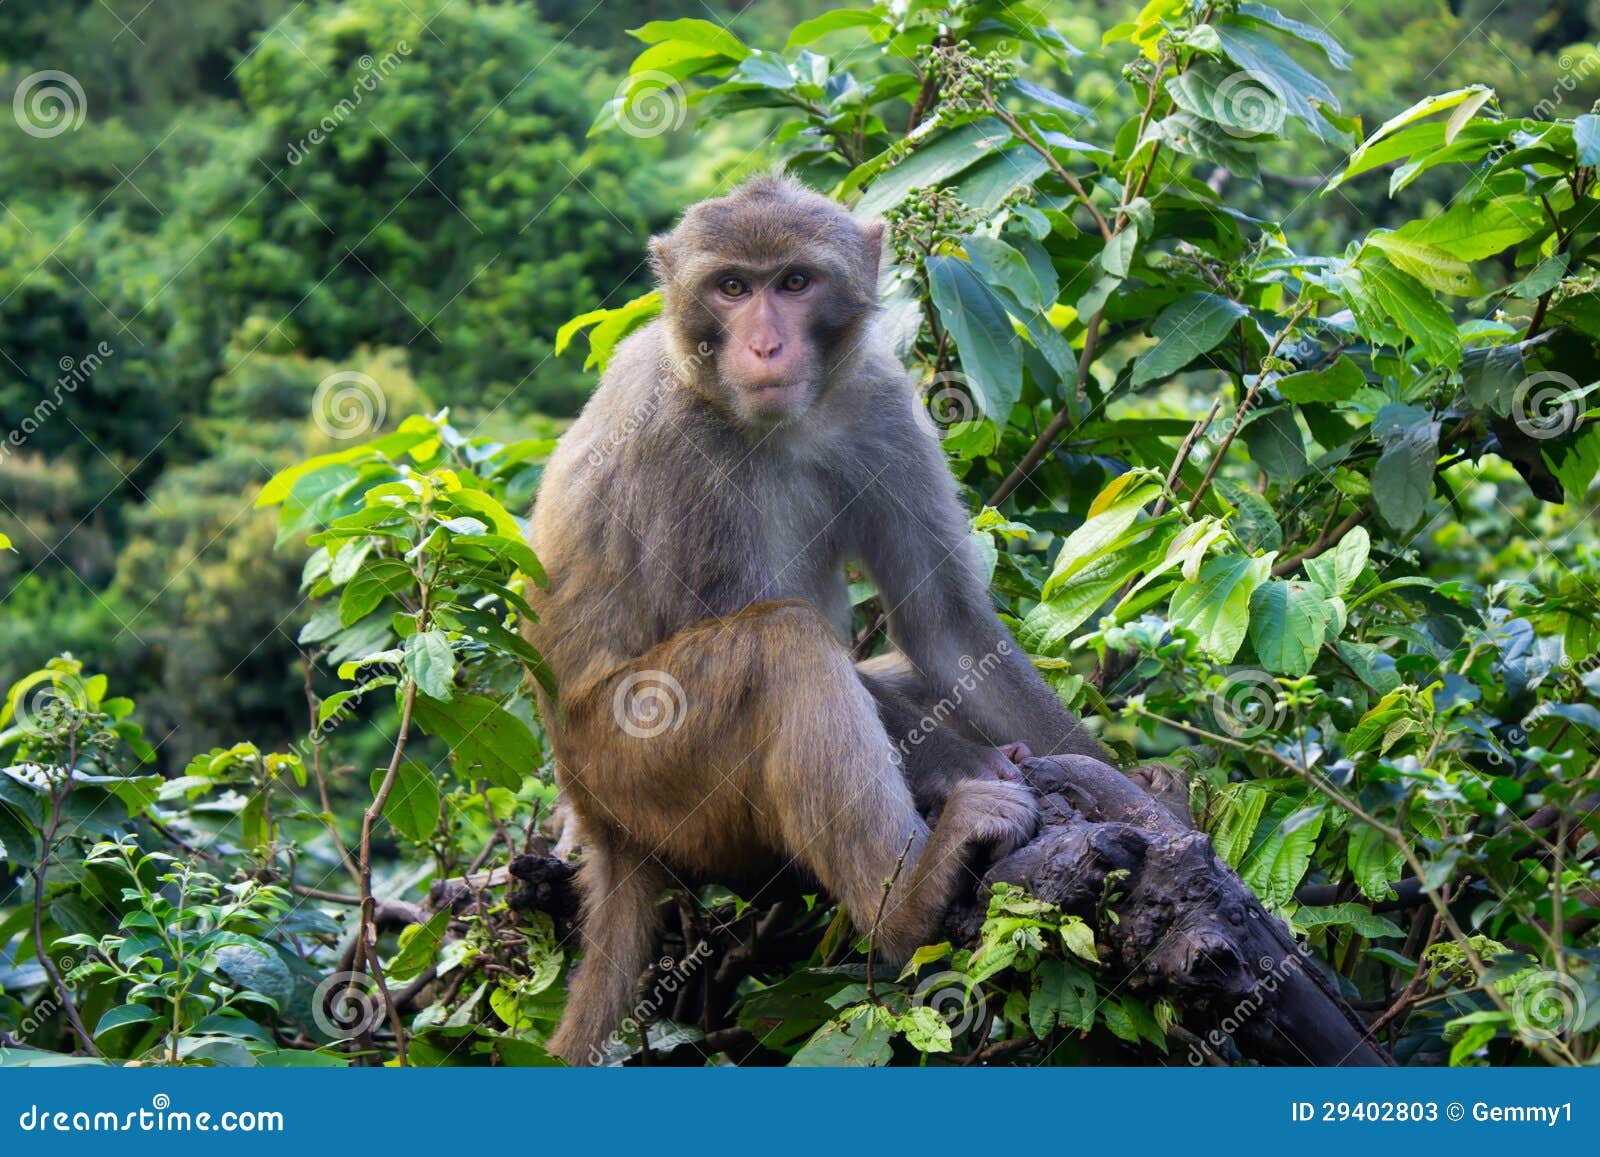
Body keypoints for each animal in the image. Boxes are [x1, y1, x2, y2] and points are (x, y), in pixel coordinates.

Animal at [531, 174, 1107, 1068]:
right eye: (732, 287)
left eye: (795, 282)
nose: (765, 346)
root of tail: (593, 813)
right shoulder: (677, 444)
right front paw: (966, 765)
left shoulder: (879, 398)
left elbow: (944, 627)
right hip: (639, 765)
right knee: (782, 644)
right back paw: (909, 900)